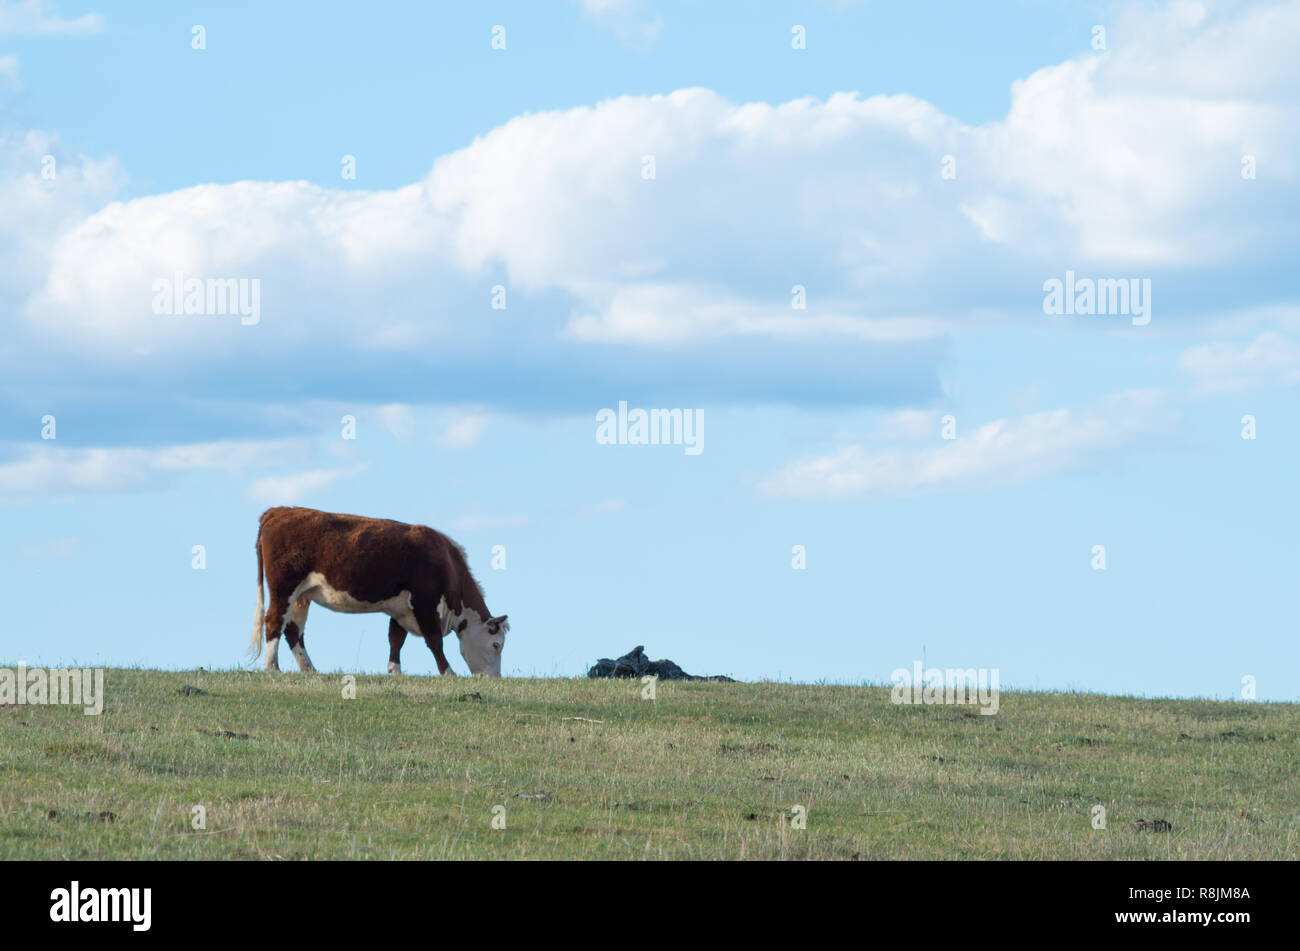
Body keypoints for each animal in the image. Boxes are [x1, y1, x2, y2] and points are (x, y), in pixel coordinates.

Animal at [248, 504, 506, 675]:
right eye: (497, 645)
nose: (493, 679)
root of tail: (279, 511)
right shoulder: (424, 602)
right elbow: (434, 641)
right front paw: (448, 673)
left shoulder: (401, 608)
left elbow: (396, 639)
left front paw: (395, 672)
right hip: (284, 587)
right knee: (273, 621)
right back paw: (272, 667)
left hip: (302, 595)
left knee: (294, 629)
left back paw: (310, 669)